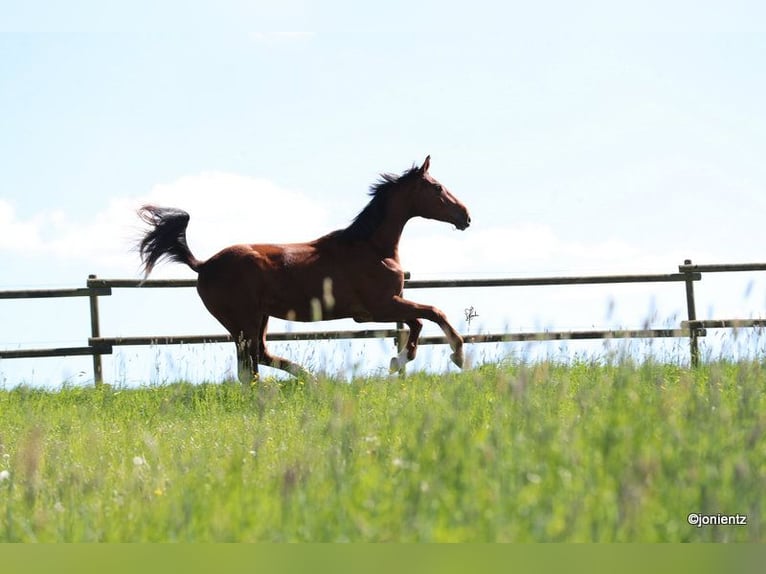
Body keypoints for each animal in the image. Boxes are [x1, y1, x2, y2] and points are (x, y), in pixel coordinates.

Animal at [137, 156, 471, 381]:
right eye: (437, 187)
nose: (465, 216)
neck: (373, 248)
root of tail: (203, 264)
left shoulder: (385, 307)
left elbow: (418, 322)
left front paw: (399, 360)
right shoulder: (378, 308)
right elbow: (431, 314)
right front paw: (456, 355)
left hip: (258, 319)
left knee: (258, 358)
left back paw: (310, 379)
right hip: (243, 321)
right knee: (249, 367)